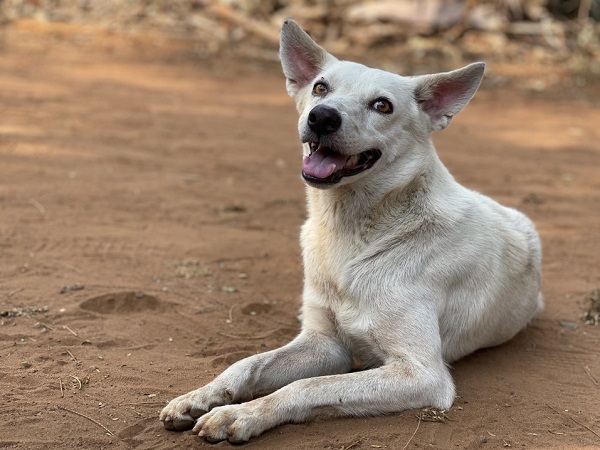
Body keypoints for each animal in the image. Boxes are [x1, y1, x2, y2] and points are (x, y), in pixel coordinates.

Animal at [161, 19, 544, 442]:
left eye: (382, 105)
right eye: (320, 87)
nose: (322, 117)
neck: (350, 232)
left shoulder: (422, 374)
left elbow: (306, 387)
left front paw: (241, 414)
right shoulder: (324, 344)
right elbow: (248, 364)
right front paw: (201, 396)